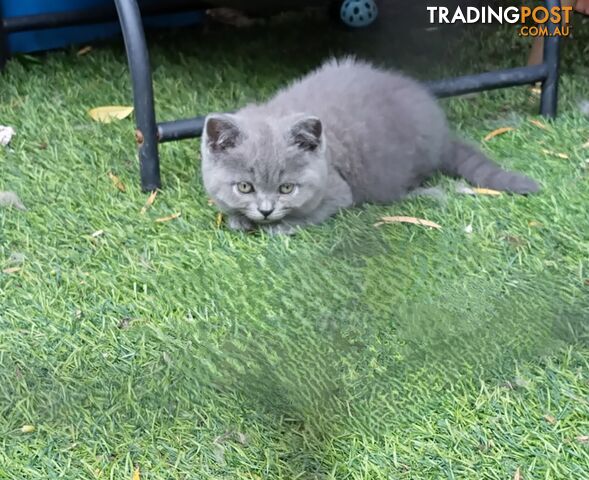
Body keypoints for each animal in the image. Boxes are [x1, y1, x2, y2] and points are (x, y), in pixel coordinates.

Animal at [200, 57, 540, 235]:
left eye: (287, 189)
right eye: (245, 187)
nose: (266, 210)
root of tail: (441, 131)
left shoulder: (338, 192)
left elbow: (311, 213)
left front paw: (279, 225)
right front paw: (239, 219)